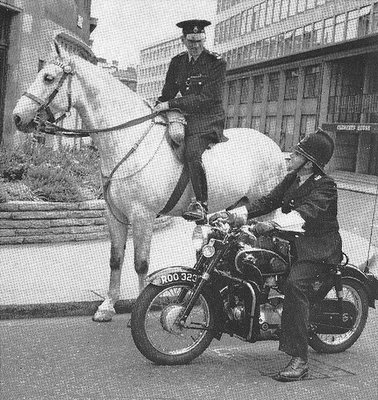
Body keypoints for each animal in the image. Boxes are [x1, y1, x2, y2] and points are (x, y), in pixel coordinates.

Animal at [13, 42, 288, 322]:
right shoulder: (114, 214)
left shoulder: (142, 216)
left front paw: (139, 305)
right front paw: (108, 305)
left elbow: (140, 263)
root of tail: (274, 147)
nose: (17, 117)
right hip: (241, 208)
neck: (127, 140)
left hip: (265, 208)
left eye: (48, 78)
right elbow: (116, 259)